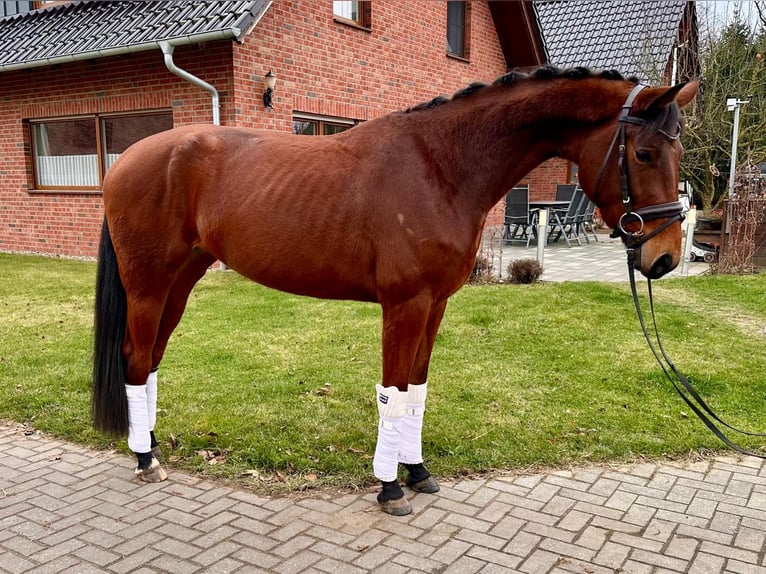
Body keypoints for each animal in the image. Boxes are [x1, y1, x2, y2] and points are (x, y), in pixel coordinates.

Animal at [92, 66, 699, 516]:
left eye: (679, 154)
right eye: (644, 154)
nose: (664, 257)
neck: (441, 166)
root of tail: (124, 161)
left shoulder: (436, 305)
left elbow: (416, 392)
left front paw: (419, 472)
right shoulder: (404, 306)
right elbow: (392, 393)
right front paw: (388, 489)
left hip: (180, 282)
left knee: (150, 362)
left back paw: (151, 447)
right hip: (148, 284)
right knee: (135, 360)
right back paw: (145, 460)